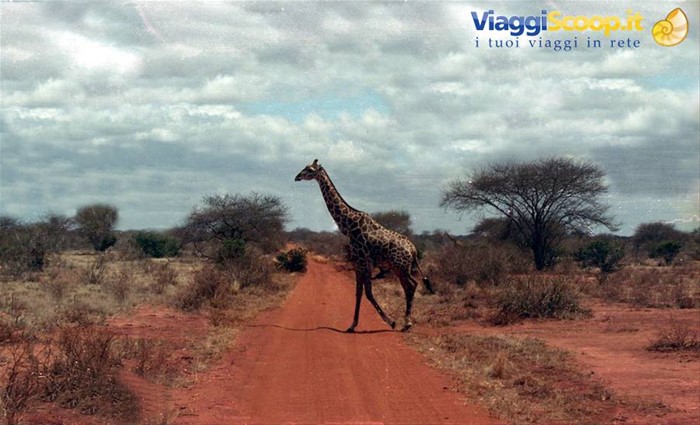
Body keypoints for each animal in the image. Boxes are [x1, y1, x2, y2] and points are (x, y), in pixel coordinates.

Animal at [295, 159, 434, 332]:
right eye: (304, 167)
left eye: (310, 169)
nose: (297, 177)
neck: (348, 226)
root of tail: (413, 250)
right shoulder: (358, 263)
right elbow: (359, 292)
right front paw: (352, 325)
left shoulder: (363, 261)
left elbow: (367, 292)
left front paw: (391, 321)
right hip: (401, 268)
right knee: (412, 284)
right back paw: (406, 322)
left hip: (400, 267)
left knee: (410, 286)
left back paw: (406, 323)